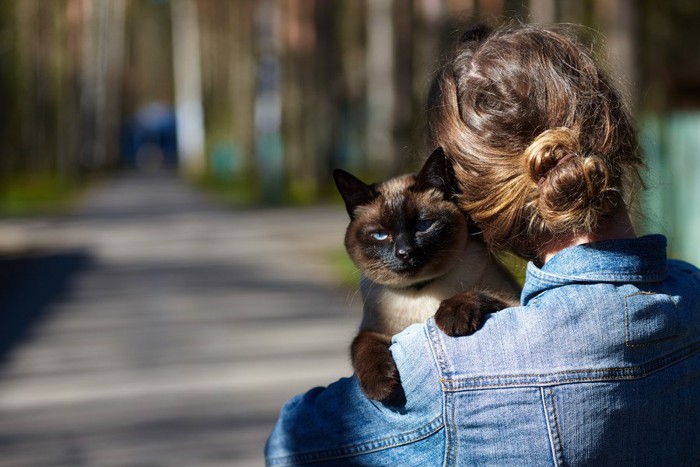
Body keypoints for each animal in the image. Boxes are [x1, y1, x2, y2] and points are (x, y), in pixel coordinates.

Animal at [334, 147, 520, 406]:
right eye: (380, 235)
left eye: (423, 226)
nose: (405, 253)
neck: (418, 291)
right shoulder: (376, 331)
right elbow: (361, 344)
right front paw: (382, 389)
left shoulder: (514, 301)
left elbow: (479, 293)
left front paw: (452, 319)